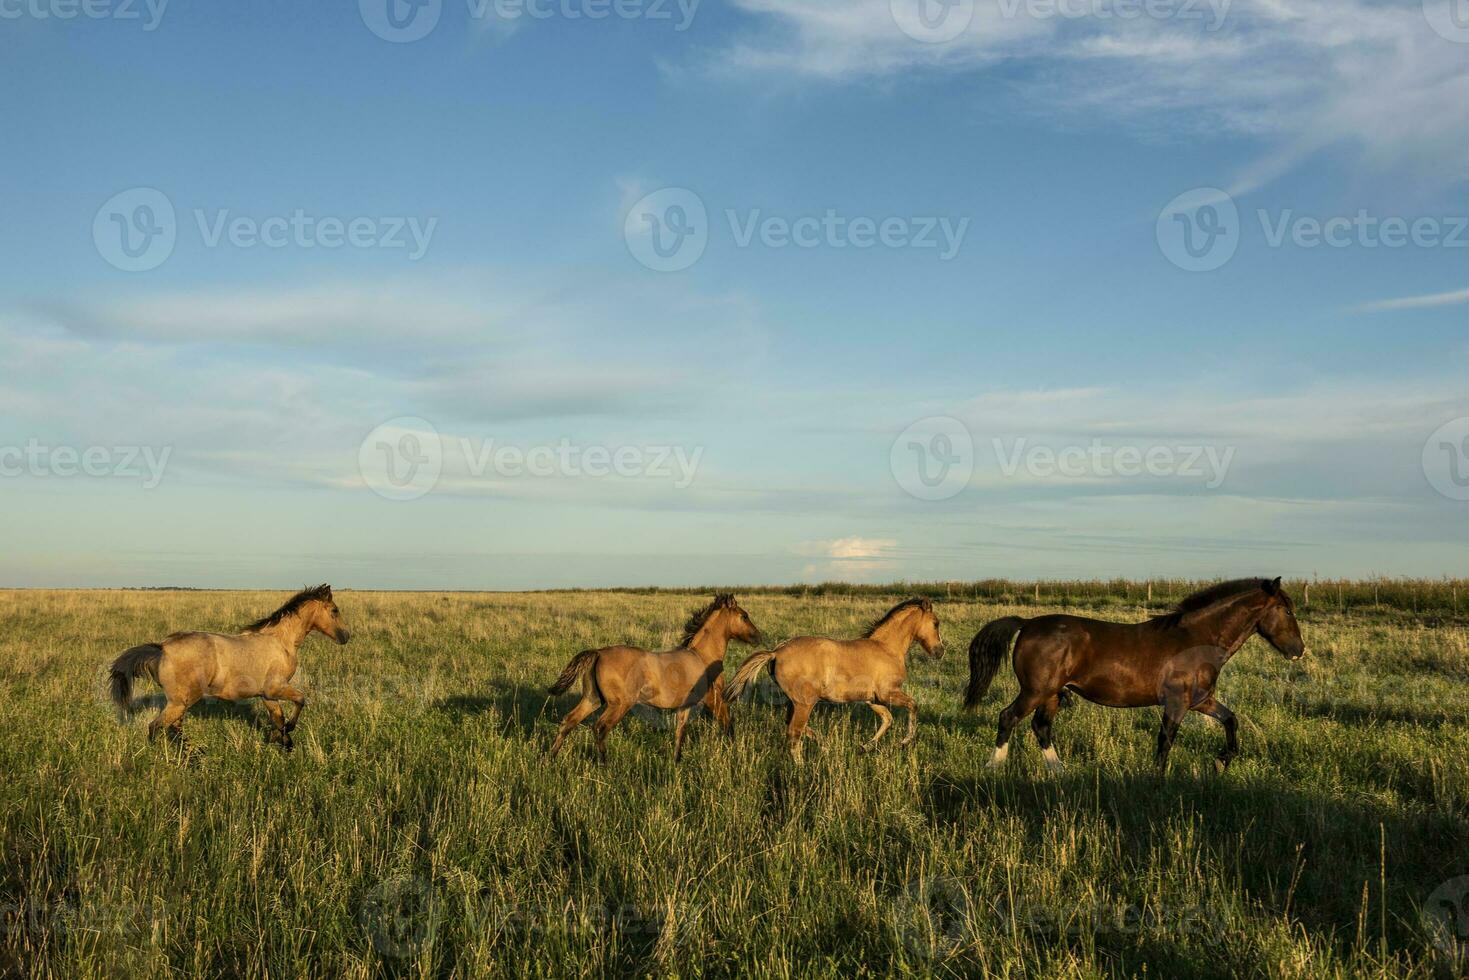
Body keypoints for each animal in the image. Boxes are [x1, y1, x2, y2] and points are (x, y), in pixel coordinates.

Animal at [107, 581, 351, 752]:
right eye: (335, 610)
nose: (346, 636)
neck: (281, 642)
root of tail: (162, 648)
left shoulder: (267, 694)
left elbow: (278, 718)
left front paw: (282, 742)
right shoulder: (277, 688)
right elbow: (300, 701)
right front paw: (286, 735)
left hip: (180, 703)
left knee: (174, 728)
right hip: (180, 702)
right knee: (156, 727)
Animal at [546, 593, 763, 764]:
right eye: (744, 616)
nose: (758, 637)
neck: (702, 657)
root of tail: (598, 653)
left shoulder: (685, 705)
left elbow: (680, 733)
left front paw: (676, 762)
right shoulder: (713, 699)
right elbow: (728, 725)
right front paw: (735, 754)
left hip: (593, 699)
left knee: (568, 721)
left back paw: (550, 758)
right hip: (619, 704)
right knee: (600, 728)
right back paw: (605, 765)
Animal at [728, 593, 946, 764]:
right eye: (936, 623)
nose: (940, 652)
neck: (887, 649)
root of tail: (776, 652)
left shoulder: (872, 699)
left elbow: (888, 719)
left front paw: (864, 747)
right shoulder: (888, 693)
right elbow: (913, 706)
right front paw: (905, 741)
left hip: (795, 702)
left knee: (792, 725)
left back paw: (825, 747)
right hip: (805, 703)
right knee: (794, 732)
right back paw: (802, 767)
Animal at [969, 575, 1304, 775]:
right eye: (1287, 610)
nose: (1298, 650)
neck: (1196, 639)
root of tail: (1027, 624)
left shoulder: (1200, 700)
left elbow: (1230, 719)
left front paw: (1221, 762)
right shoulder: (1177, 703)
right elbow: (1165, 741)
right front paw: (1157, 779)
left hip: (1051, 694)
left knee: (1040, 727)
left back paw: (1060, 772)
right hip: (1035, 691)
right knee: (1008, 717)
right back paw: (992, 768)